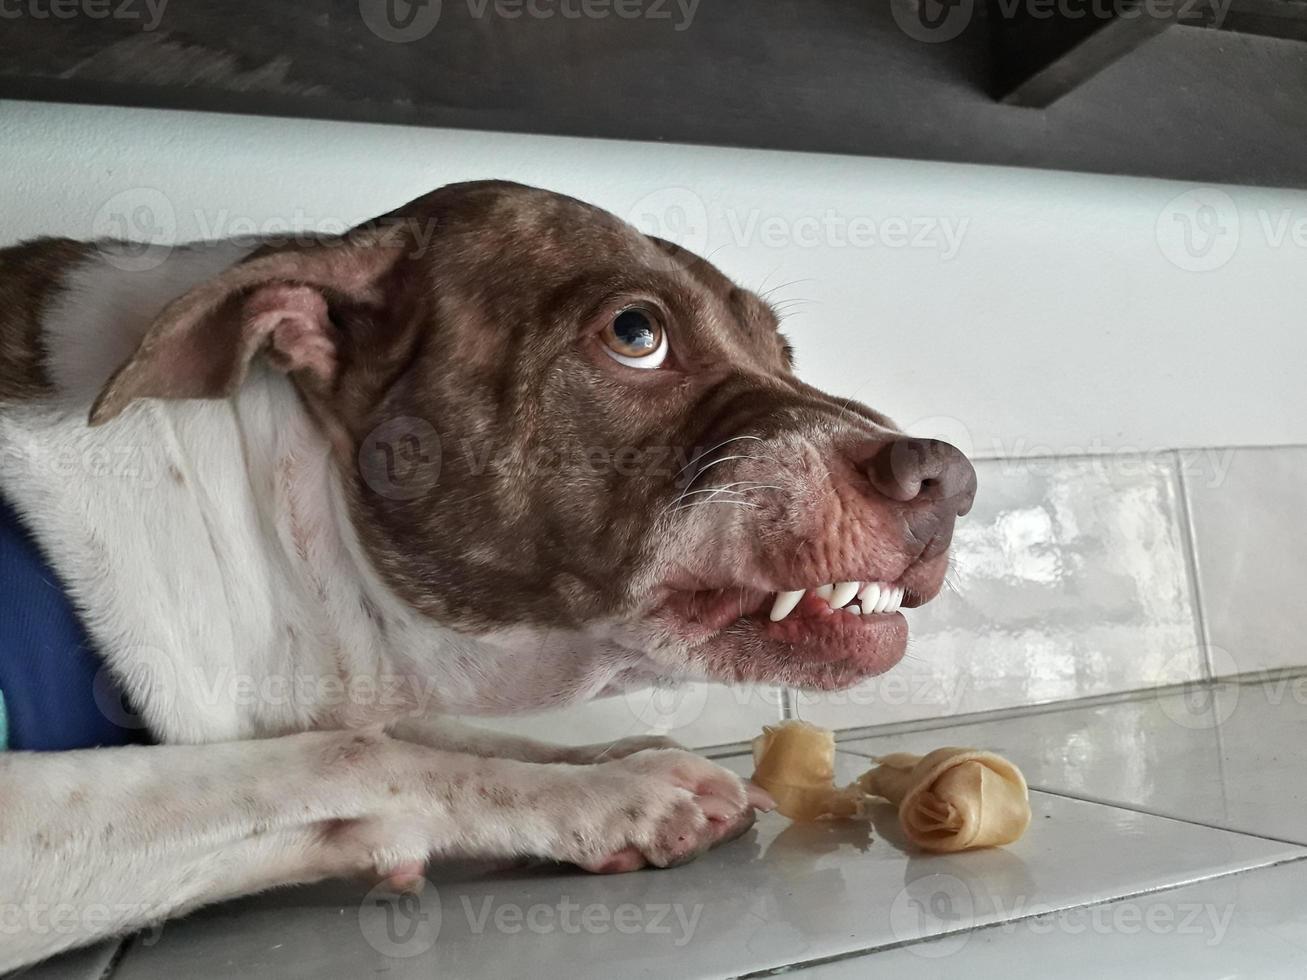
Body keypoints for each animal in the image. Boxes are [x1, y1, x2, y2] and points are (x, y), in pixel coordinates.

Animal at [0, 180, 977, 972]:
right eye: (635, 333)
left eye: (781, 350)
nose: (952, 479)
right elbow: (349, 757)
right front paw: (617, 795)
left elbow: (452, 737)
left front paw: (619, 758)